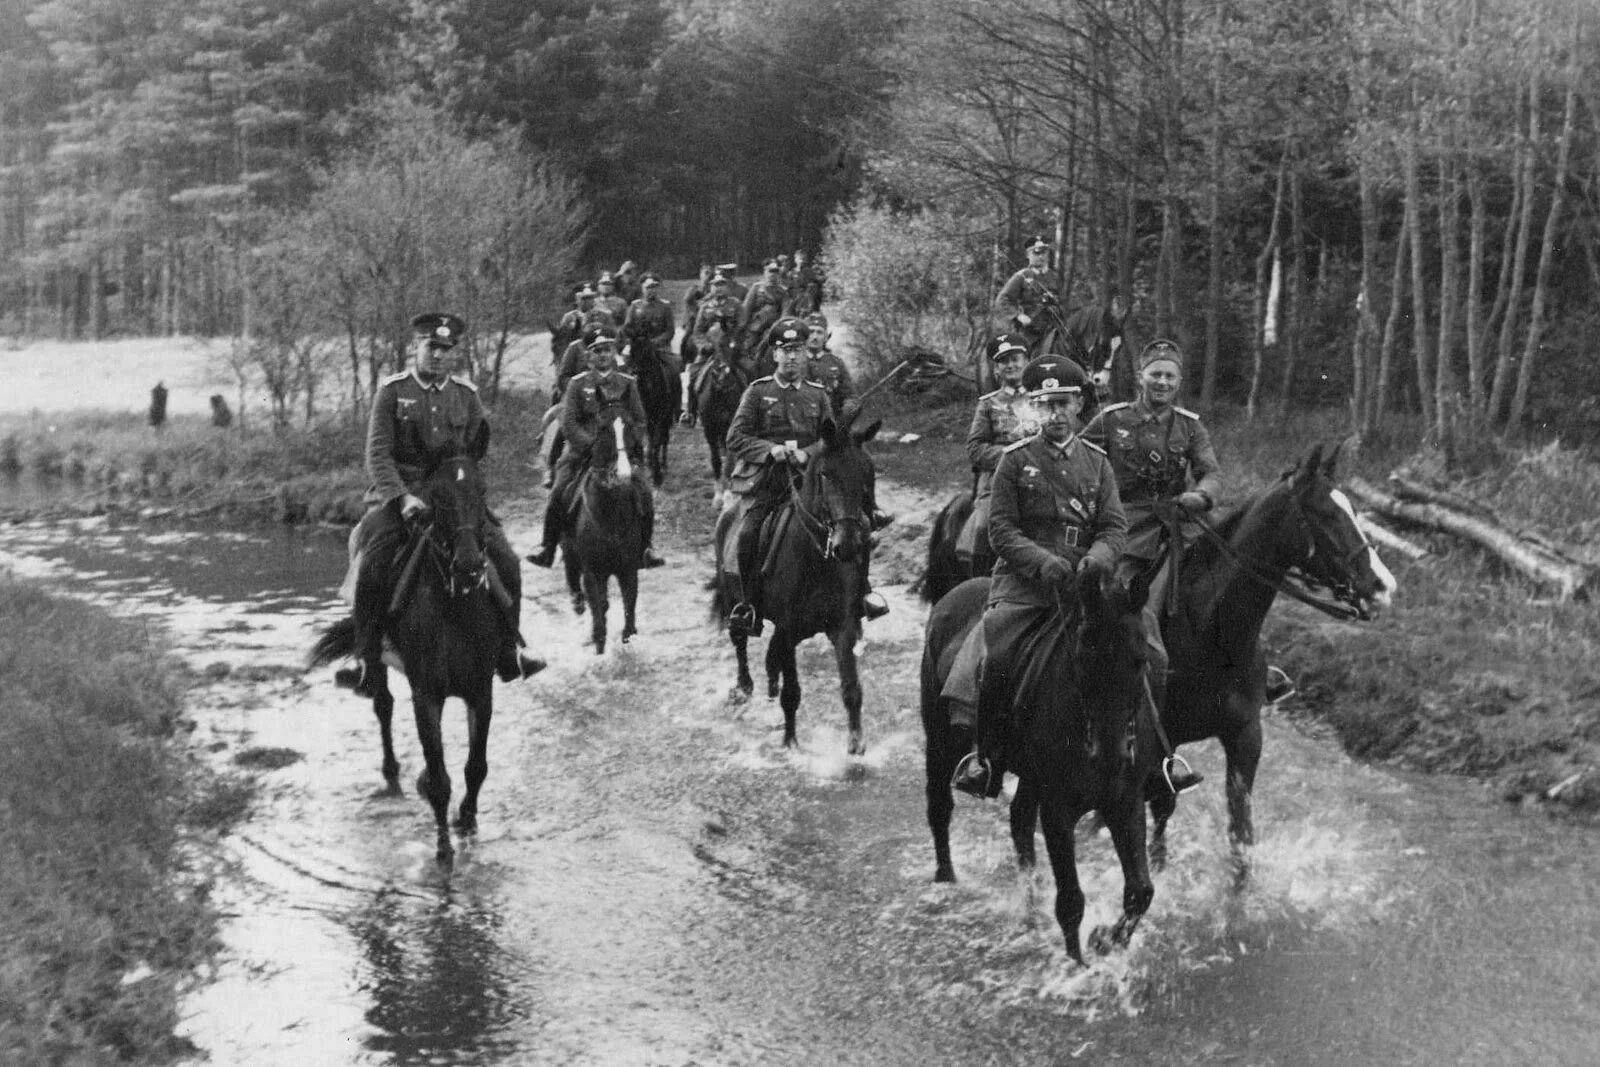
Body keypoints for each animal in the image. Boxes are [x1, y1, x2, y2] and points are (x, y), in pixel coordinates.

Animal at [308, 435, 508, 870]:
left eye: (483, 491)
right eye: (437, 497)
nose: (470, 565)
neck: (455, 606)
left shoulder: (480, 691)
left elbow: (476, 767)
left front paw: (468, 822)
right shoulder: (426, 695)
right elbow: (441, 778)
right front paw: (444, 849)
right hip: (377, 656)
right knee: (382, 704)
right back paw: (393, 770)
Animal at [716, 409, 889, 751]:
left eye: (868, 472)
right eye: (825, 474)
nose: (848, 544)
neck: (816, 560)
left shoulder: (843, 627)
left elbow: (851, 688)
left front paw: (856, 744)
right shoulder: (788, 630)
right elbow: (792, 692)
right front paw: (790, 742)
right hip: (735, 602)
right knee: (739, 640)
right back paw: (744, 688)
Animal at [921, 572, 1158, 966]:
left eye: (1140, 660)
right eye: (1082, 659)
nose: (1110, 758)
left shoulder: (1125, 801)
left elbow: (1140, 891)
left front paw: (1106, 940)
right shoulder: (1058, 809)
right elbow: (1071, 901)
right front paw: (1077, 966)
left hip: (1031, 777)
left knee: (1019, 823)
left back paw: (1030, 913)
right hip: (939, 739)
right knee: (940, 806)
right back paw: (947, 877)